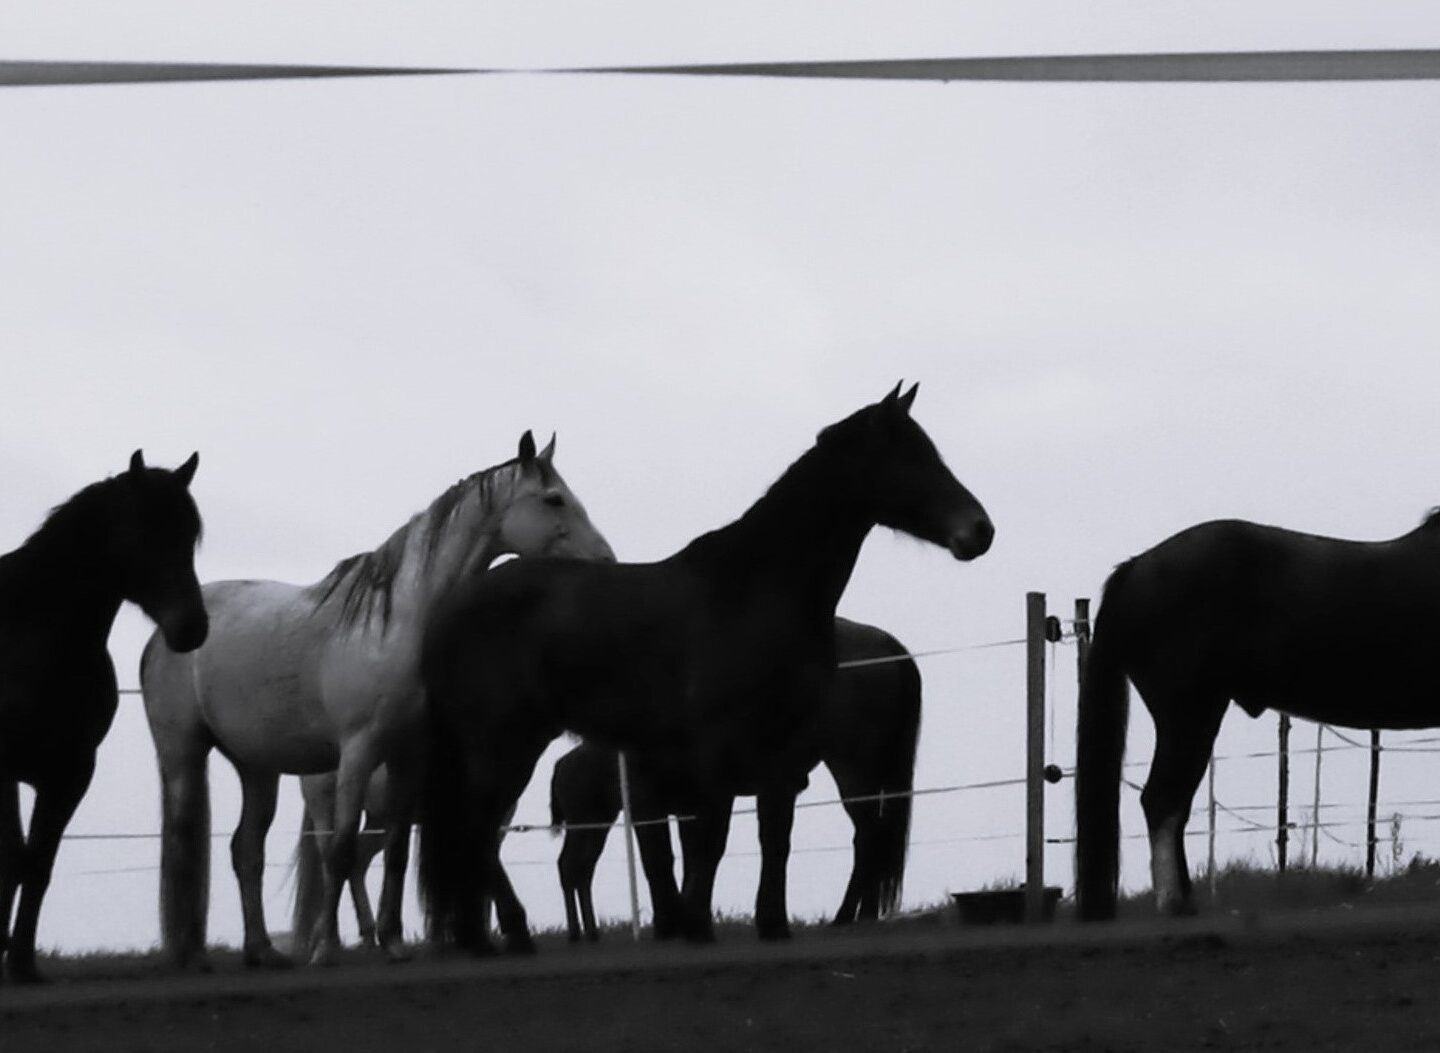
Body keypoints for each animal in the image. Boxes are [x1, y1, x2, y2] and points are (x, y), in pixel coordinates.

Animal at [0, 458, 208, 985]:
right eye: (143, 530)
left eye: (190, 535)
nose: (192, 628)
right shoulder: (4, 769)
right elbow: (13, 857)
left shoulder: (71, 773)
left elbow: (37, 865)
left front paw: (22, 963)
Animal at [144, 432, 613, 968]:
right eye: (554, 499)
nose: (606, 562)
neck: (393, 626)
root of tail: (164, 637)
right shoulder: (358, 752)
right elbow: (342, 850)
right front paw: (326, 948)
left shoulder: (407, 758)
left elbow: (396, 852)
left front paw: (392, 941)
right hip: (184, 756)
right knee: (187, 844)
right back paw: (191, 954)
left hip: (257, 769)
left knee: (247, 851)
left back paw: (262, 950)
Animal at [550, 613, 921, 944]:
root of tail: (886, 644)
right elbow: (688, 855)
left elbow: (685, 854)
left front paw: (685, 922)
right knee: (871, 835)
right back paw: (859, 914)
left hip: (852, 766)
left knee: (869, 835)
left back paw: (850, 915)